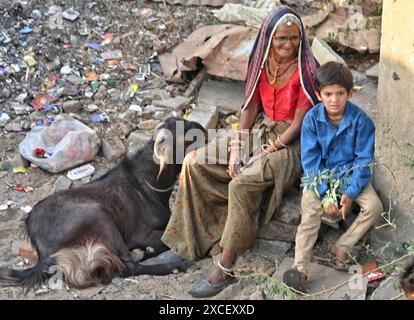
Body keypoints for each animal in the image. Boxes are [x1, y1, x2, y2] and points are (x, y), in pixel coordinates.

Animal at [0, 117, 206, 290]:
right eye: (185, 133)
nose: (203, 128)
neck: (148, 182)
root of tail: (42, 249)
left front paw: (147, 250)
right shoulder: (139, 234)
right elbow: (167, 241)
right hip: (99, 216)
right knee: (128, 267)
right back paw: (178, 265)